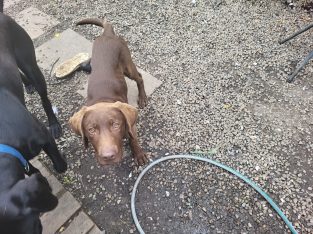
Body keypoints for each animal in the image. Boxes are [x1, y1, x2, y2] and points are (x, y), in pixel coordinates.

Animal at [70, 18, 148, 165]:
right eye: (91, 130)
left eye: (116, 124)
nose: (108, 156)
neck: (103, 100)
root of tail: (107, 33)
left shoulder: (131, 125)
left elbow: (133, 138)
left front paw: (139, 154)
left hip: (127, 65)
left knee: (139, 77)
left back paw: (142, 98)